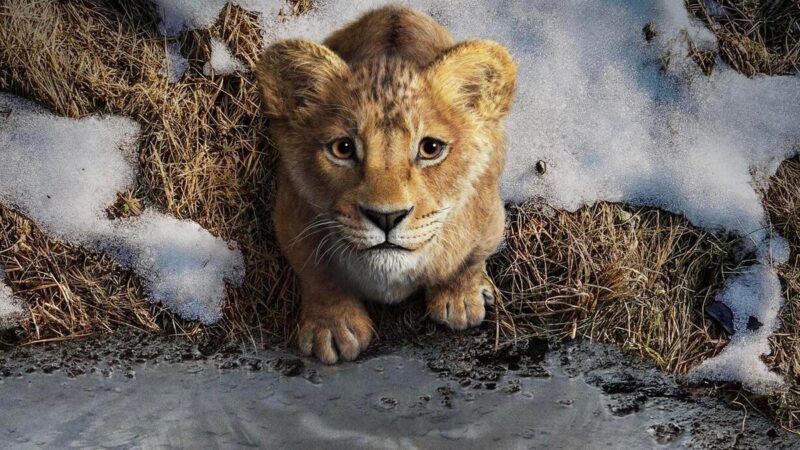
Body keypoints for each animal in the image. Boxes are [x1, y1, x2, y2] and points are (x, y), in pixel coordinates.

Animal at [256, 6, 517, 363]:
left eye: (430, 148)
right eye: (342, 148)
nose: (386, 217)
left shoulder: (489, 216)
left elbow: (468, 259)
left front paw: (460, 299)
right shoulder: (291, 216)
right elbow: (318, 273)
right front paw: (332, 328)